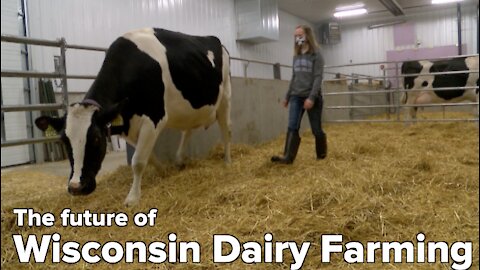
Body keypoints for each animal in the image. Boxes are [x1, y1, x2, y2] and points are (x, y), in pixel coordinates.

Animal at [34, 27, 232, 206]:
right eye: (63, 140)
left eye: (97, 139)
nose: (76, 187)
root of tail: (213, 39)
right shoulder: (127, 126)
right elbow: (148, 156)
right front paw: (163, 171)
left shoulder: (153, 119)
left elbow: (138, 161)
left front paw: (133, 198)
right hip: (189, 109)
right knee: (188, 129)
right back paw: (179, 160)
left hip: (225, 98)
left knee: (225, 131)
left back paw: (227, 161)